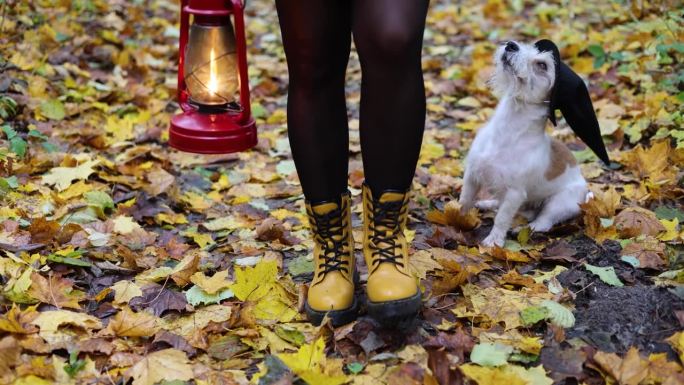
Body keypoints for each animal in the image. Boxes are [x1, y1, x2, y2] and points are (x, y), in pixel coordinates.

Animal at [460, 41, 600, 246]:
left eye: (542, 65)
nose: (511, 45)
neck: (507, 131)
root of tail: (585, 194)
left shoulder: (514, 193)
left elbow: (502, 218)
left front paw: (494, 241)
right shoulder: (472, 174)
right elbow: (464, 200)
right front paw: (455, 218)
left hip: (558, 203)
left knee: (542, 223)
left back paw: (524, 229)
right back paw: (487, 203)